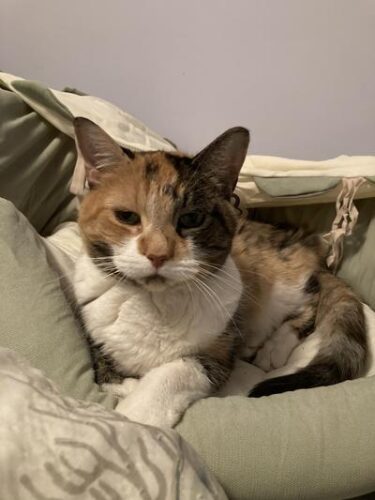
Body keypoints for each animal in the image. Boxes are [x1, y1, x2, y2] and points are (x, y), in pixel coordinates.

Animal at [72, 117, 368, 426]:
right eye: (127, 216)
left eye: (191, 218)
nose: (157, 254)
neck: (155, 303)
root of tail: (304, 242)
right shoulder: (94, 330)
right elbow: (105, 374)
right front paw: (127, 389)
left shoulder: (218, 350)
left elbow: (178, 370)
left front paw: (137, 417)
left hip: (284, 281)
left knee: (311, 299)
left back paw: (273, 348)